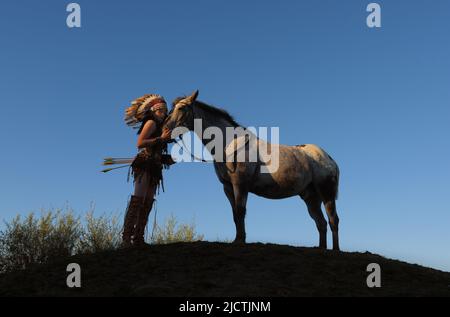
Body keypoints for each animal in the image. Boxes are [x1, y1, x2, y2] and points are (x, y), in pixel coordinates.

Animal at [164, 89, 342, 249]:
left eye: (181, 108)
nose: (164, 131)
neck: (230, 144)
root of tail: (329, 159)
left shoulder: (240, 185)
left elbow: (240, 211)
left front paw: (240, 240)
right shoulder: (228, 187)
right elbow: (235, 214)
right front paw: (237, 239)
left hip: (326, 193)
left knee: (333, 220)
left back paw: (335, 249)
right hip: (310, 197)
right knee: (321, 223)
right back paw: (321, 249)